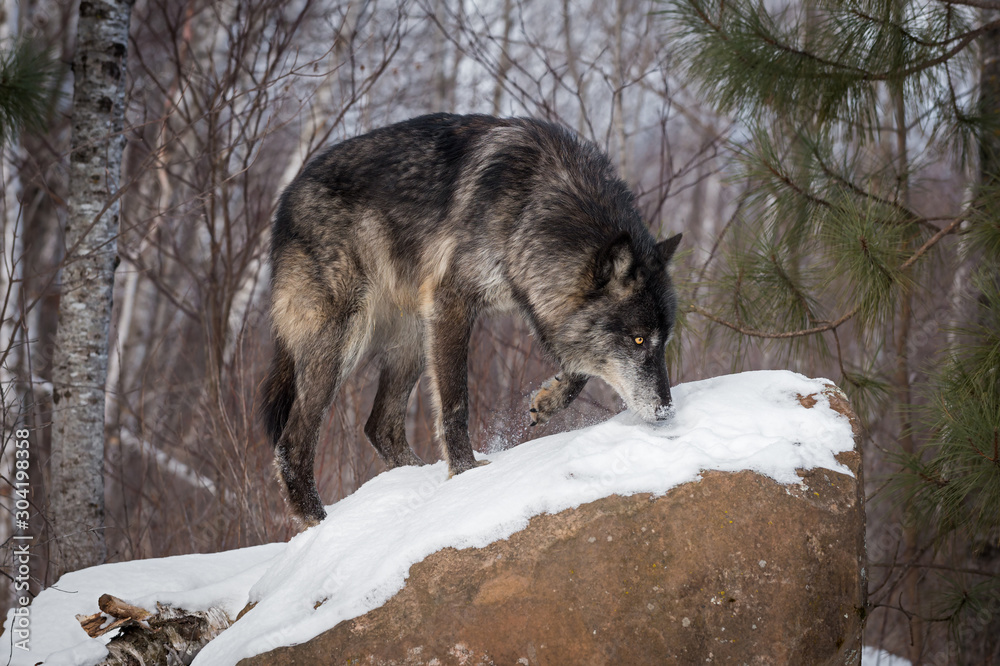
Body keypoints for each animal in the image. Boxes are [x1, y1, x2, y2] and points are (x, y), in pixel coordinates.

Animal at [261, 113, 682, 525]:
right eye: (638, 340)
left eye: (662, 342)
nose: (666, 411)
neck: (532, 208)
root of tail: (286, 199)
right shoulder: (451, 303)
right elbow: (455, 403)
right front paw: (465, 473)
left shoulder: (534, 301)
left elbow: (579, 366)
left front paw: (548, 400)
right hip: (344, 339)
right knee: (291, 443)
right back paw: (318, 521)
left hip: (412, 337)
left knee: (379, 426)